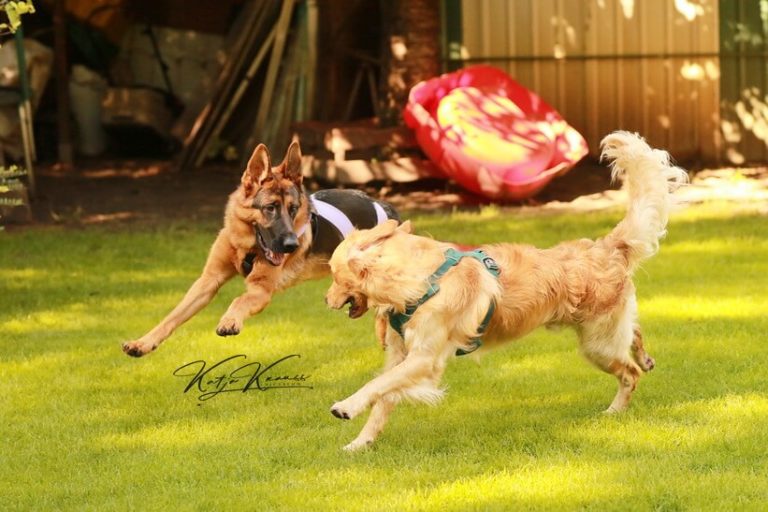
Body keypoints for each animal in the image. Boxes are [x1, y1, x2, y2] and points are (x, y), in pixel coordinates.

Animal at [123, 140, 400, 356]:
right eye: (270, 208)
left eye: (293, 209)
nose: (291, 245)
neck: (247, 245)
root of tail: (385, 207)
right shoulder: (207, 282)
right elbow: (173, 316)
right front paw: (143, 343)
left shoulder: (260, 290)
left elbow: (239, 299)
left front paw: (229, 320)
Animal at [322, 132, 684, 452]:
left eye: (334, 275)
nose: (325, 300)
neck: (419, 279)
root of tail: (606, 247)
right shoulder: (400, 355)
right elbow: (382, 397)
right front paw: (360, 443)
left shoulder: (424, 358)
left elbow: (377, 386)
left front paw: (346, 407)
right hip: (604, 335)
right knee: (634, 335)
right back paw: (644, 358)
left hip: (598, 345)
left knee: (629, 373)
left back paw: (615, 410)